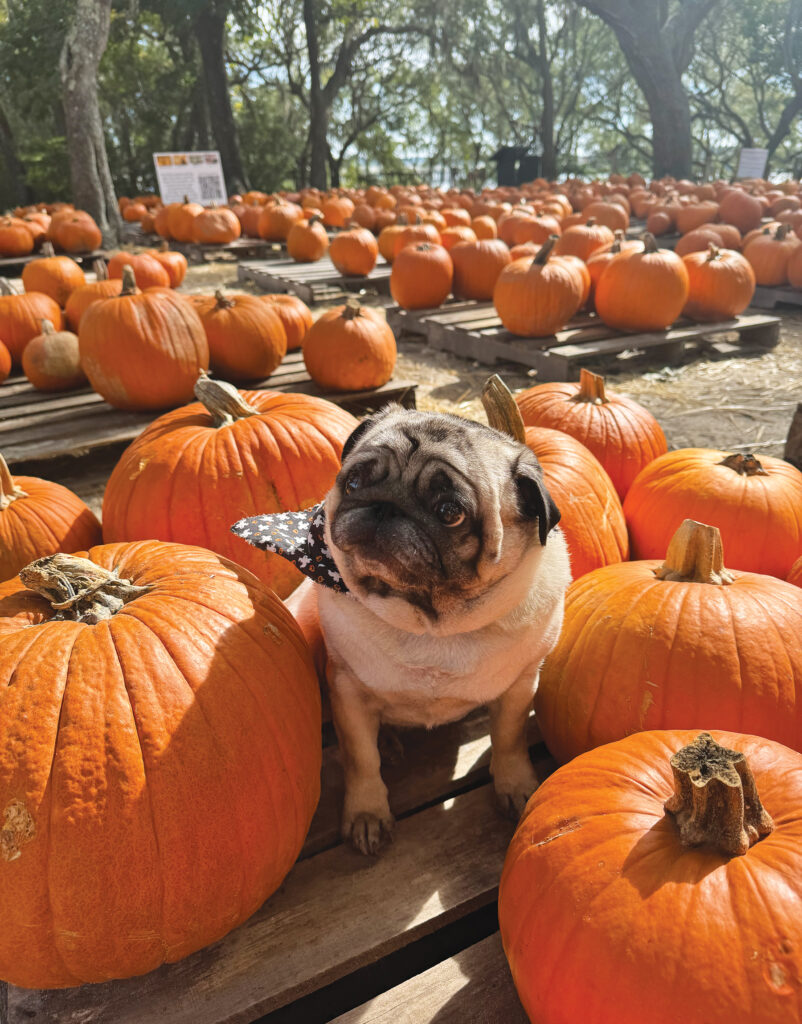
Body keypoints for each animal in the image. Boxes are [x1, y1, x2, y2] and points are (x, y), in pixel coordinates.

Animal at [317, 391, 569, 856]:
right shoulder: (345, 688)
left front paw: (515, 785)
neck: (430, 624)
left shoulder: (520, 686)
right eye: (354, 482)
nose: (386, 507)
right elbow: (361, 759)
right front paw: (367, 813)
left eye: (450, 512)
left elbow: (509, 739)